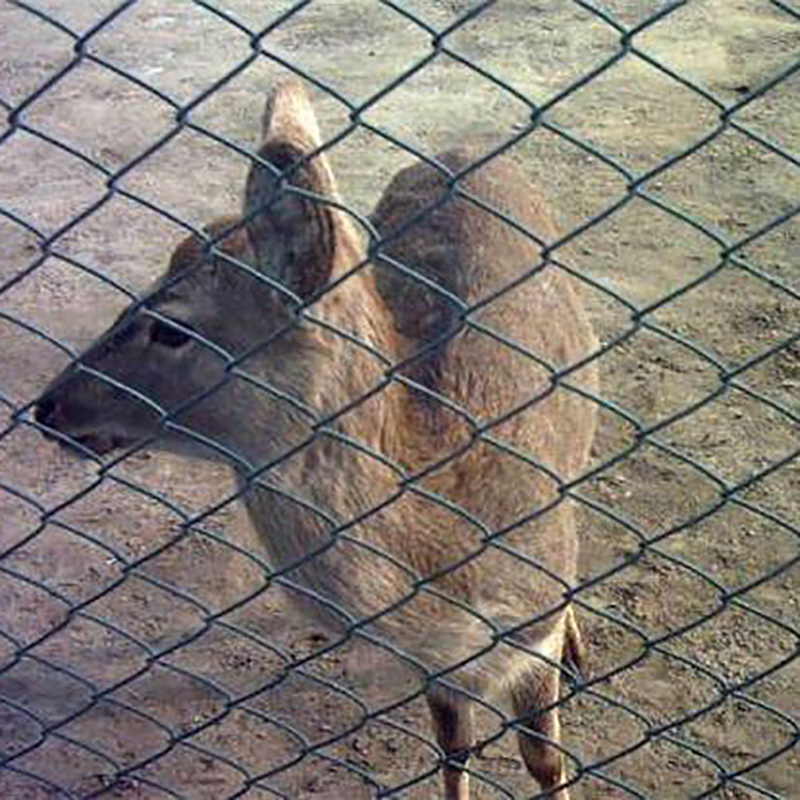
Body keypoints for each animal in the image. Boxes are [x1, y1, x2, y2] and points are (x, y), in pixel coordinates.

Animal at [36, 76, 600, 800]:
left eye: (172, 328)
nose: (47, 406)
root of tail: (465, 149)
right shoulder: (434, 666)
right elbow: (454, 749)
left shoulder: (531, 620)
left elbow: (545, 760)